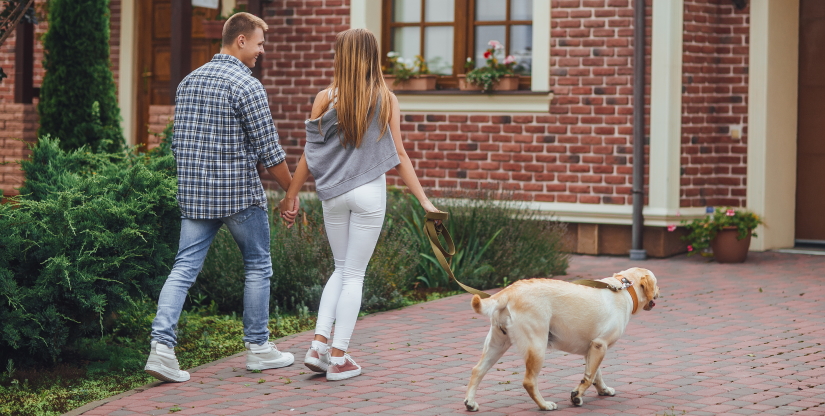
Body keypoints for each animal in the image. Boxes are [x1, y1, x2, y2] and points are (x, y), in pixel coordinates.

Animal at [464, 266, 656, 410]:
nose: (659, 293)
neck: (625, 288)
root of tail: (509, 291)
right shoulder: (600, 345)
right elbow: (589, 378)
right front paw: (577, 396)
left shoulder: (593, 348)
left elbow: (595, 375)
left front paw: (603, 390)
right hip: (537, 347)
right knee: (529, 382)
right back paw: (544, 405)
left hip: (497, 344)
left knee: (477, 370)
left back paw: (470, 403)